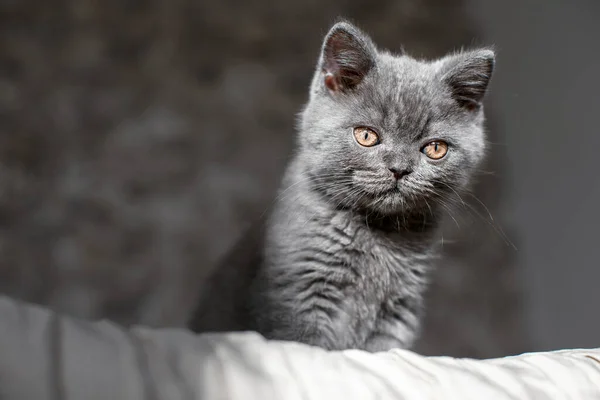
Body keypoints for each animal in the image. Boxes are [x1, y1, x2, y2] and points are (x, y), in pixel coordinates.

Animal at [190, 20, 494, 352]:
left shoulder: (399, 310)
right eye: (366, 136)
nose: (399, 169)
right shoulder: (298, 295)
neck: (378, 235)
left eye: (435, 149)